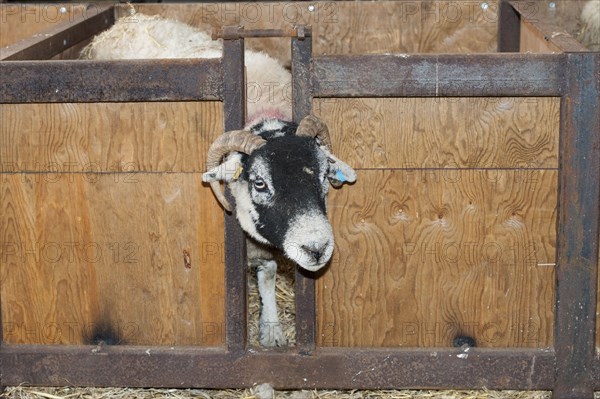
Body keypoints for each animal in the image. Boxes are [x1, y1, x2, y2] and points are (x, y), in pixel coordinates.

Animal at [81, 10, 354, 346]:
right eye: (259, 182)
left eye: (323, 175)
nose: (316, 248)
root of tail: (127, 20)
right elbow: (268, 270)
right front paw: (271, 329)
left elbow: (268, 275)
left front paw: (271, 328)